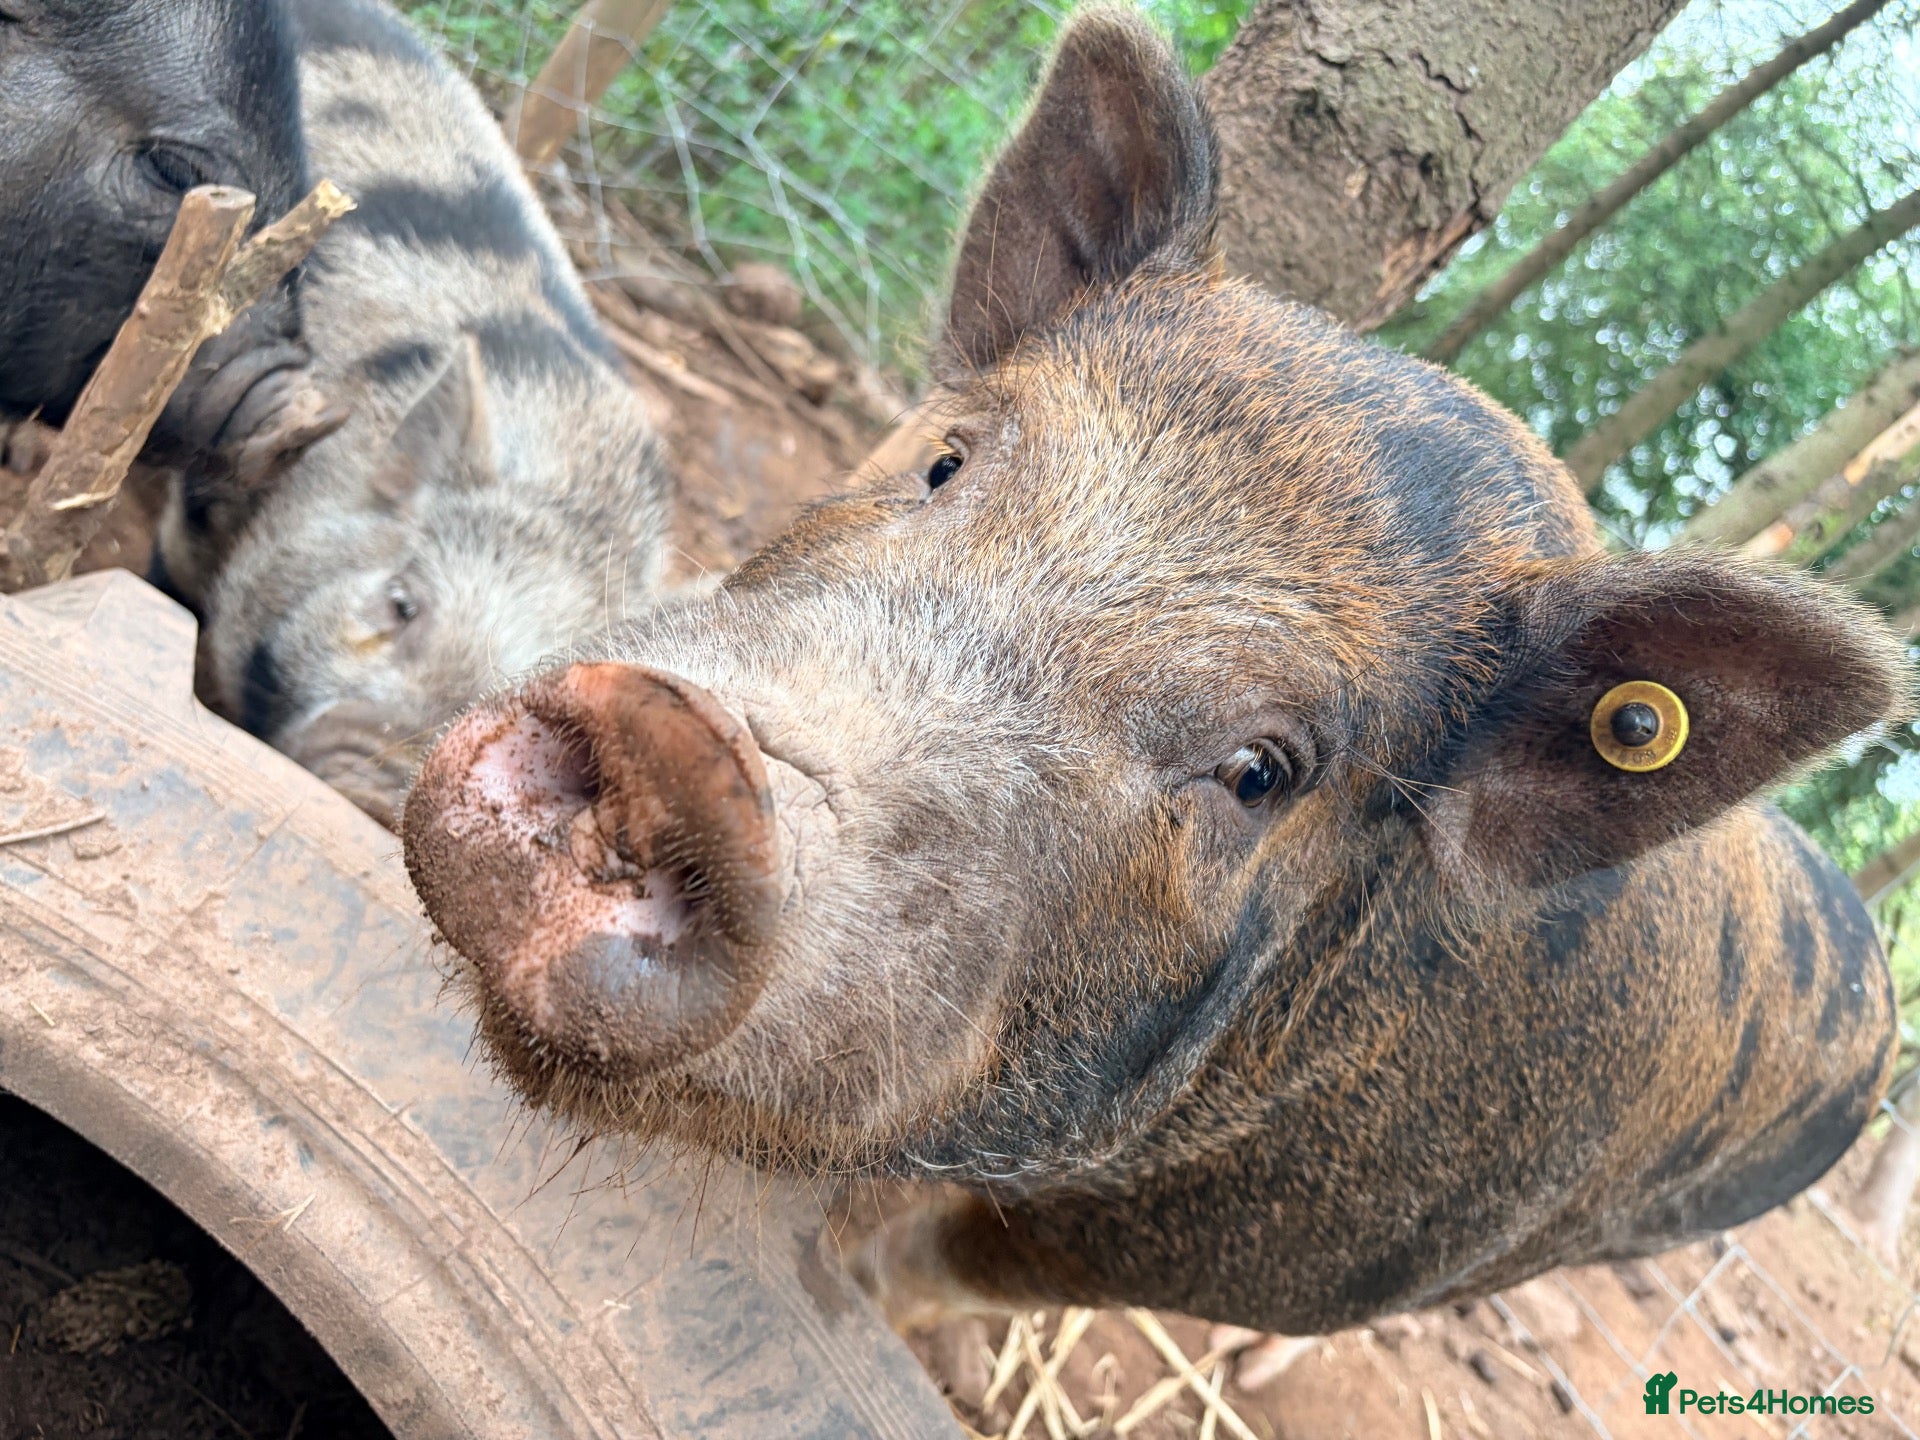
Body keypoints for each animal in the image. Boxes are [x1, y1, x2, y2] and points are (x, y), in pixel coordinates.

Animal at [400, 10, 1909, 1337]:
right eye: (947, 460)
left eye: (1262, 771)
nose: (680, 742)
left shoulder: (1228, 1254)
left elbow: (944, 1260)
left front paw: (868, 1302)